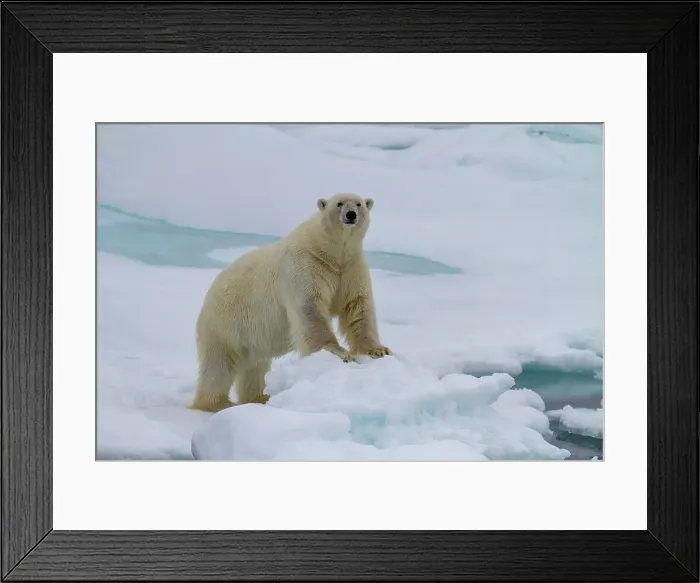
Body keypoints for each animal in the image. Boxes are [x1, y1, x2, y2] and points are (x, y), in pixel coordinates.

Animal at [189, 192, 392, 413]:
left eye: (359, 204)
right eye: (339, 204)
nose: (351, 214)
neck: (329, 251)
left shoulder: (350, 269)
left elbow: (357, 307)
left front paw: (378, 350)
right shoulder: (305, 267)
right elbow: (310, 308)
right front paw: (339, 352)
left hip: (249, 337)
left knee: (255, 367)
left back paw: (259, 397)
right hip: (225, 324)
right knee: (219, 366)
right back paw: (218, 403)